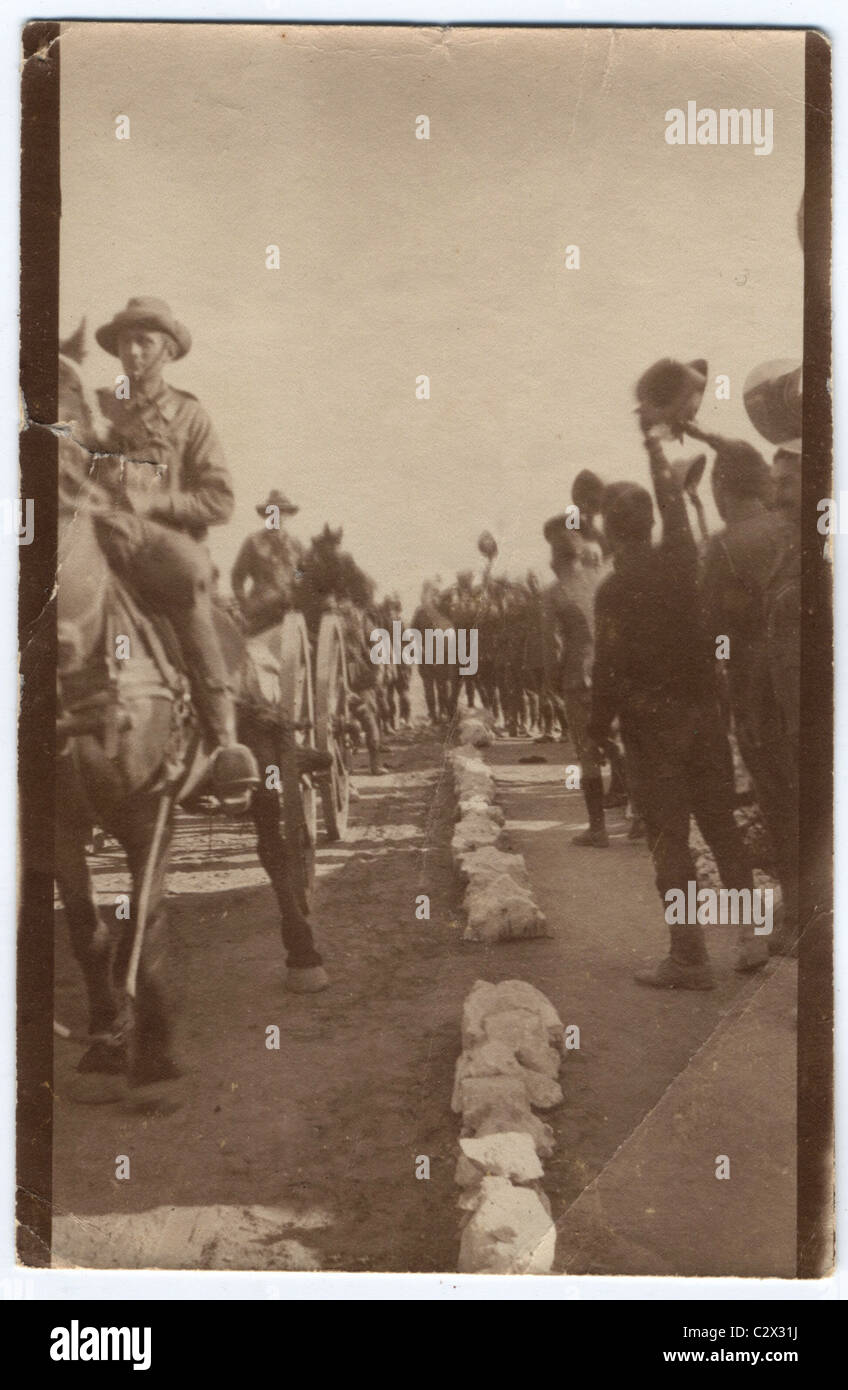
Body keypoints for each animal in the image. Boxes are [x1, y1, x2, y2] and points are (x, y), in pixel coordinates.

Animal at [52, 358, 323, 1095]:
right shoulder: (53, 822)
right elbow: (87, 930)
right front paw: (105, 1033)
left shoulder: (152, 808)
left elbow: (145, 915)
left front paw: (152, 1051)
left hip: (269, 758)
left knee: (279, 851)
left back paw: (304, 953)